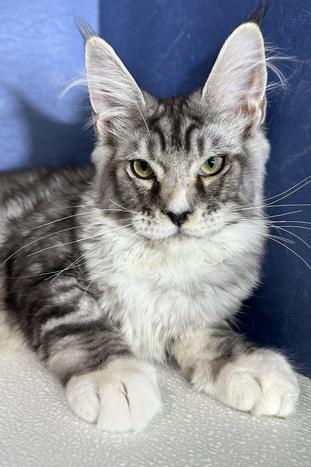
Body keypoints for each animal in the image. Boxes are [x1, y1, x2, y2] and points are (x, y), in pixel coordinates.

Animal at [0, 22, 300, 432]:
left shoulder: (197, 314)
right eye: (141, 168)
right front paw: (115, 377)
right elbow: (81, 319)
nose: (177, 214)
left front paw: (249, 365)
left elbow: (210, 335)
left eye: (211, 164)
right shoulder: (40, 257)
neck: (168, 272)